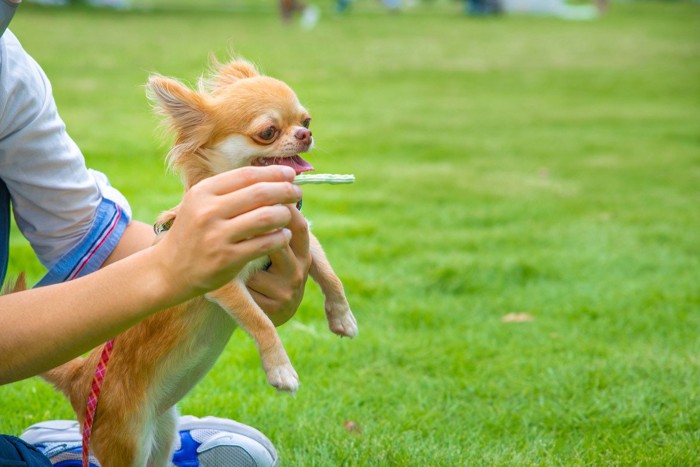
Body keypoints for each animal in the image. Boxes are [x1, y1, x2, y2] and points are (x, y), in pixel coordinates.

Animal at [39, 58, 356, 467]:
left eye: (307, 119)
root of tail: (79, 376)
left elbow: (331, 276)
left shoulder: (300, 236)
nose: (305, 134)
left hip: (162, 434)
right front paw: (281, 369)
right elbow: (260, 320)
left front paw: (342, 318)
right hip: (127, 441)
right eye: (268, 132)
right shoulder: (220, 280)